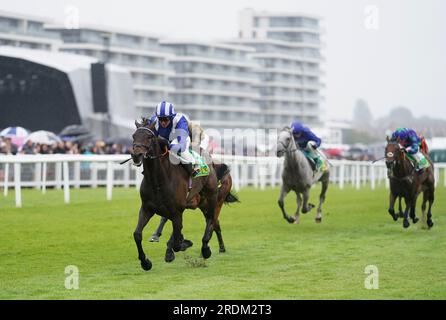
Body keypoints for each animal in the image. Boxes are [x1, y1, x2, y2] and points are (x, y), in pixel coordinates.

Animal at [132, 121, 220, 268]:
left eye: (149, 137)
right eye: (133, 136)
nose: (136, 155)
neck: (158, 180)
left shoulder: (176, 211)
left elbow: (178, 244)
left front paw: (184, 243)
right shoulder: (147, 208)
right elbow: (137, 234)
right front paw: (145, 262)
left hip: (211, 196)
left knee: (211, 218)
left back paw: (205, 248)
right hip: (198, 201)